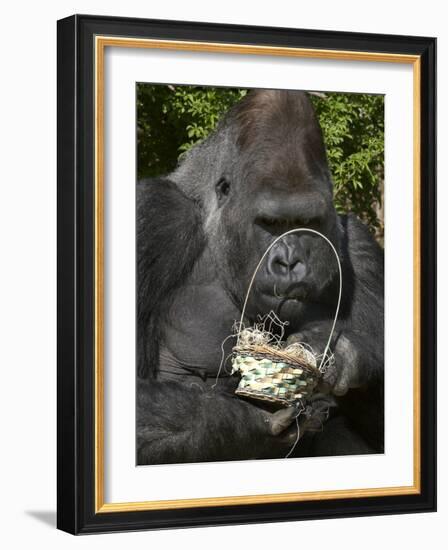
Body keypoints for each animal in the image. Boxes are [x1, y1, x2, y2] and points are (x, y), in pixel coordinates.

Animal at [135, 89, 384, 466]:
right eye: (270, 223)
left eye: (306, 222)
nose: (290, 262)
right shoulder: (153, 217)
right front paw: (258, 421)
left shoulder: (361, 249)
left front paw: (348, 354)